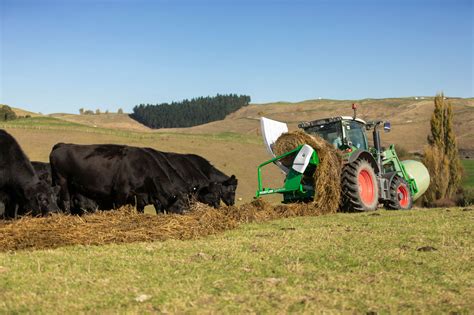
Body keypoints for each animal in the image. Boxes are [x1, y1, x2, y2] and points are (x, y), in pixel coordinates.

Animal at [50, 143, 194, 215]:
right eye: (180, 205)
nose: (188, 214)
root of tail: (62, 145)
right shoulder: (121, 191)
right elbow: (119, 207)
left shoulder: (139, 197)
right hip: (62, 181)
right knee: (64, 201)